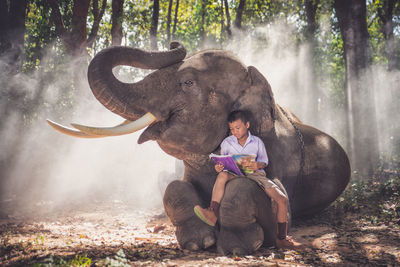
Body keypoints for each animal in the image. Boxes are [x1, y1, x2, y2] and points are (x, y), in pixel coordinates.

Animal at [48, 42, 350, 255]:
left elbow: (271, 202)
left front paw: (238, 247)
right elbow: (175, 187)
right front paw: (198, 243)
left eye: (188, 83)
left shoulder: (276, 153)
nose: (174, 43)